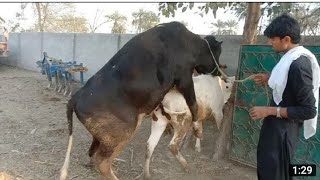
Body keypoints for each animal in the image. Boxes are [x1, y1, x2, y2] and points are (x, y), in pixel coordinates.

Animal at [60, 21, 221, 180]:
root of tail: (75, 96)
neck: (188, 41)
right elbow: (193, 104)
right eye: (218, 52)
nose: (219, 71)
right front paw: (198, 131)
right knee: (102, 162)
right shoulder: (184, 76)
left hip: (101, 136)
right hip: (121, 133)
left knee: (92, 152)